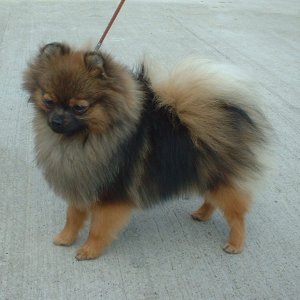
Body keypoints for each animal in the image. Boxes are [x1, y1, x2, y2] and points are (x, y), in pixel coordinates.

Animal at [22, 42, 272, 260]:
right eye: (48, 100)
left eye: (79, 107)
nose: (56, 121)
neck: (82, 140)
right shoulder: (81, 182)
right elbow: (72, 217)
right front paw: (65, 238)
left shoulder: (111, 194)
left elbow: (98, 228)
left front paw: (89, 250)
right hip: (207, 173)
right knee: (212, 198)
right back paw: (202, 214)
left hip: (221, 179)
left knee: (236, 215)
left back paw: (235, 243)